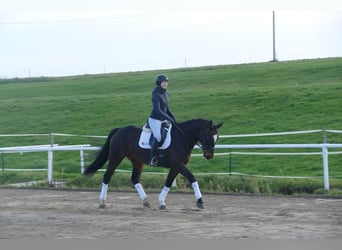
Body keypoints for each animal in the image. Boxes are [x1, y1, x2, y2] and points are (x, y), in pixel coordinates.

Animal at [82, 118, 222, 209]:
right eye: (208, 135)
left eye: (217, 138)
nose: (209, 156)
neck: (182, 137)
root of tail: (119, 130)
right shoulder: (178, 164)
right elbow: (192, 178)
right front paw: (200, 201)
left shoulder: (177, 166)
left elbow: (168, 182)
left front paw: (161, 202)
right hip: (116, 158)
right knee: (107, 176)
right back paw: (102, 202)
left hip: (137, 161)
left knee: (135, 179)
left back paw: (145, 201)